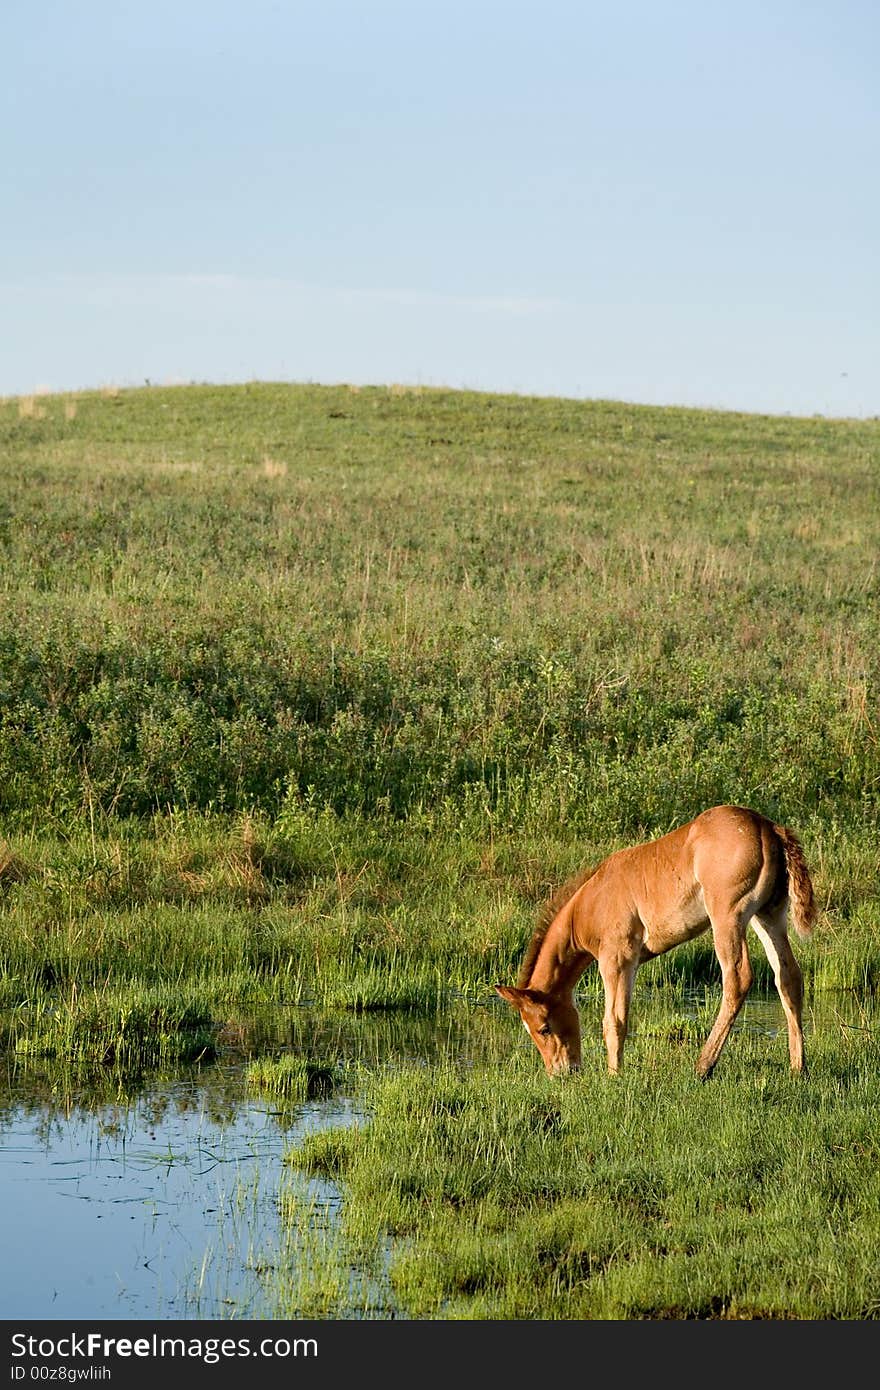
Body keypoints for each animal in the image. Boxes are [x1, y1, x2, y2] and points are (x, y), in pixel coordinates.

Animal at [497, 811, 811, 1078]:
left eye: (544, 1028)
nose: (561, 1073)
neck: (589, 905)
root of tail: (767, 827)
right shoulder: (632, 963)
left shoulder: (616, 958)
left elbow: (613, 1020)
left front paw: (614, 1076)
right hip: (769, 915)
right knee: (788, 978)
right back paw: (798, 1068)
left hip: (728, 917)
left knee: (738, 979)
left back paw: (703, 1067)